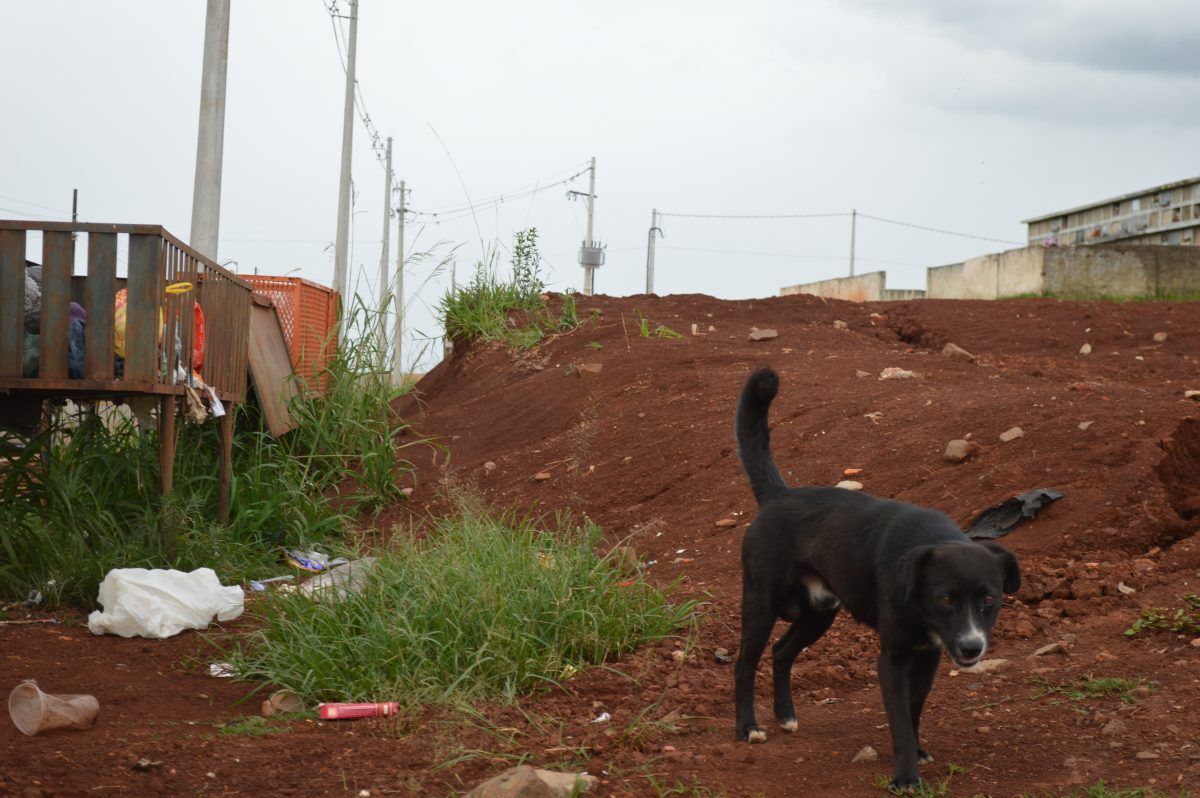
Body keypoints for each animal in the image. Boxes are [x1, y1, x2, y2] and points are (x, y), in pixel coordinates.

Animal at [729, 367, 1022, 792]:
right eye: (945, 598)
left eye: (989, 599)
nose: (971, 648)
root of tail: (777, 495)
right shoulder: (893, 659)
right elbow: (899, 720)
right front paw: (905, 777)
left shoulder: (929, 655)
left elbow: (913, 711)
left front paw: (917, 752)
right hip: (761, 603)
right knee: (744, 664)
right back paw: (747, 728)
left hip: (820, 613)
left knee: (781, 652)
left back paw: (785, 715)